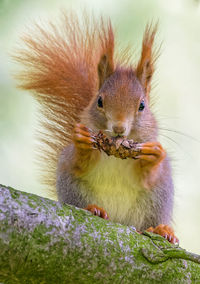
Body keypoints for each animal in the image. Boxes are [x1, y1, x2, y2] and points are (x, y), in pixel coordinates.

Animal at [14, 12, 179, 244]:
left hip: (156, 201)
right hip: (73, 188)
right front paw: (83, 144)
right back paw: (94, 209)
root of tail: (119, 221)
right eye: (99, 101)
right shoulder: (72, 161)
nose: (119, 127)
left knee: (149, 222)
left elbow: (148, 176)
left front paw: (153, 155)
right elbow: (79, 163)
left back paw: (162, 230)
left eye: (142, 105)